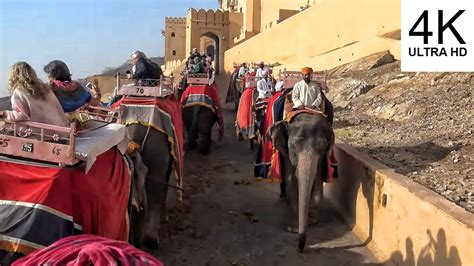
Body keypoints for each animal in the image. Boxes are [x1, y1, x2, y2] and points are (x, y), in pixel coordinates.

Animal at [270, 112, 334, 254]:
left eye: (323, 148)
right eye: (293, 147)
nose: (299, 249)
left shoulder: (322, 158)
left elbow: (317, 179)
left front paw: (311, 221)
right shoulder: (287, 153)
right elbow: (291, 181)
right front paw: (293, 229)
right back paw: (283, 198)